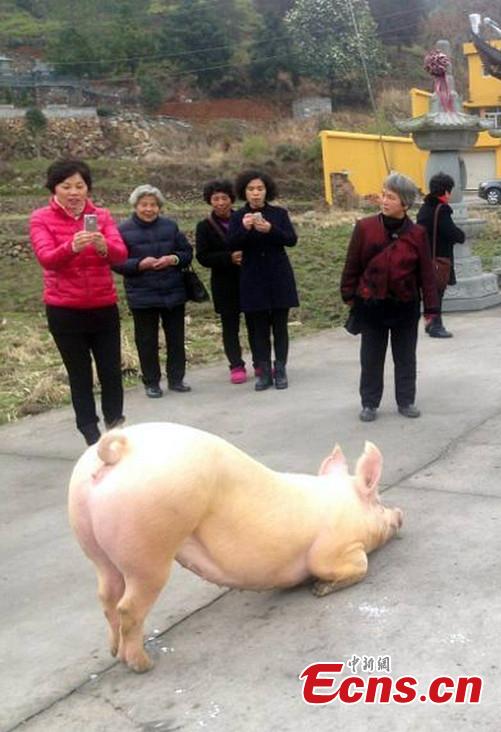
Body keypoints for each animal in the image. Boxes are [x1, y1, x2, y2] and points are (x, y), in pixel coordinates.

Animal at [68, 422, 402, 673]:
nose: (400, 514)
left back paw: (114, 652)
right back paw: (143, 664)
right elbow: (355, 565)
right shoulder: (334, 548)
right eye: (378, 501)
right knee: (128, 606)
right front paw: (319, 589)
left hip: (92, 542)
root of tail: (118, 453)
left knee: (107, 595)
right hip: (150, 549)